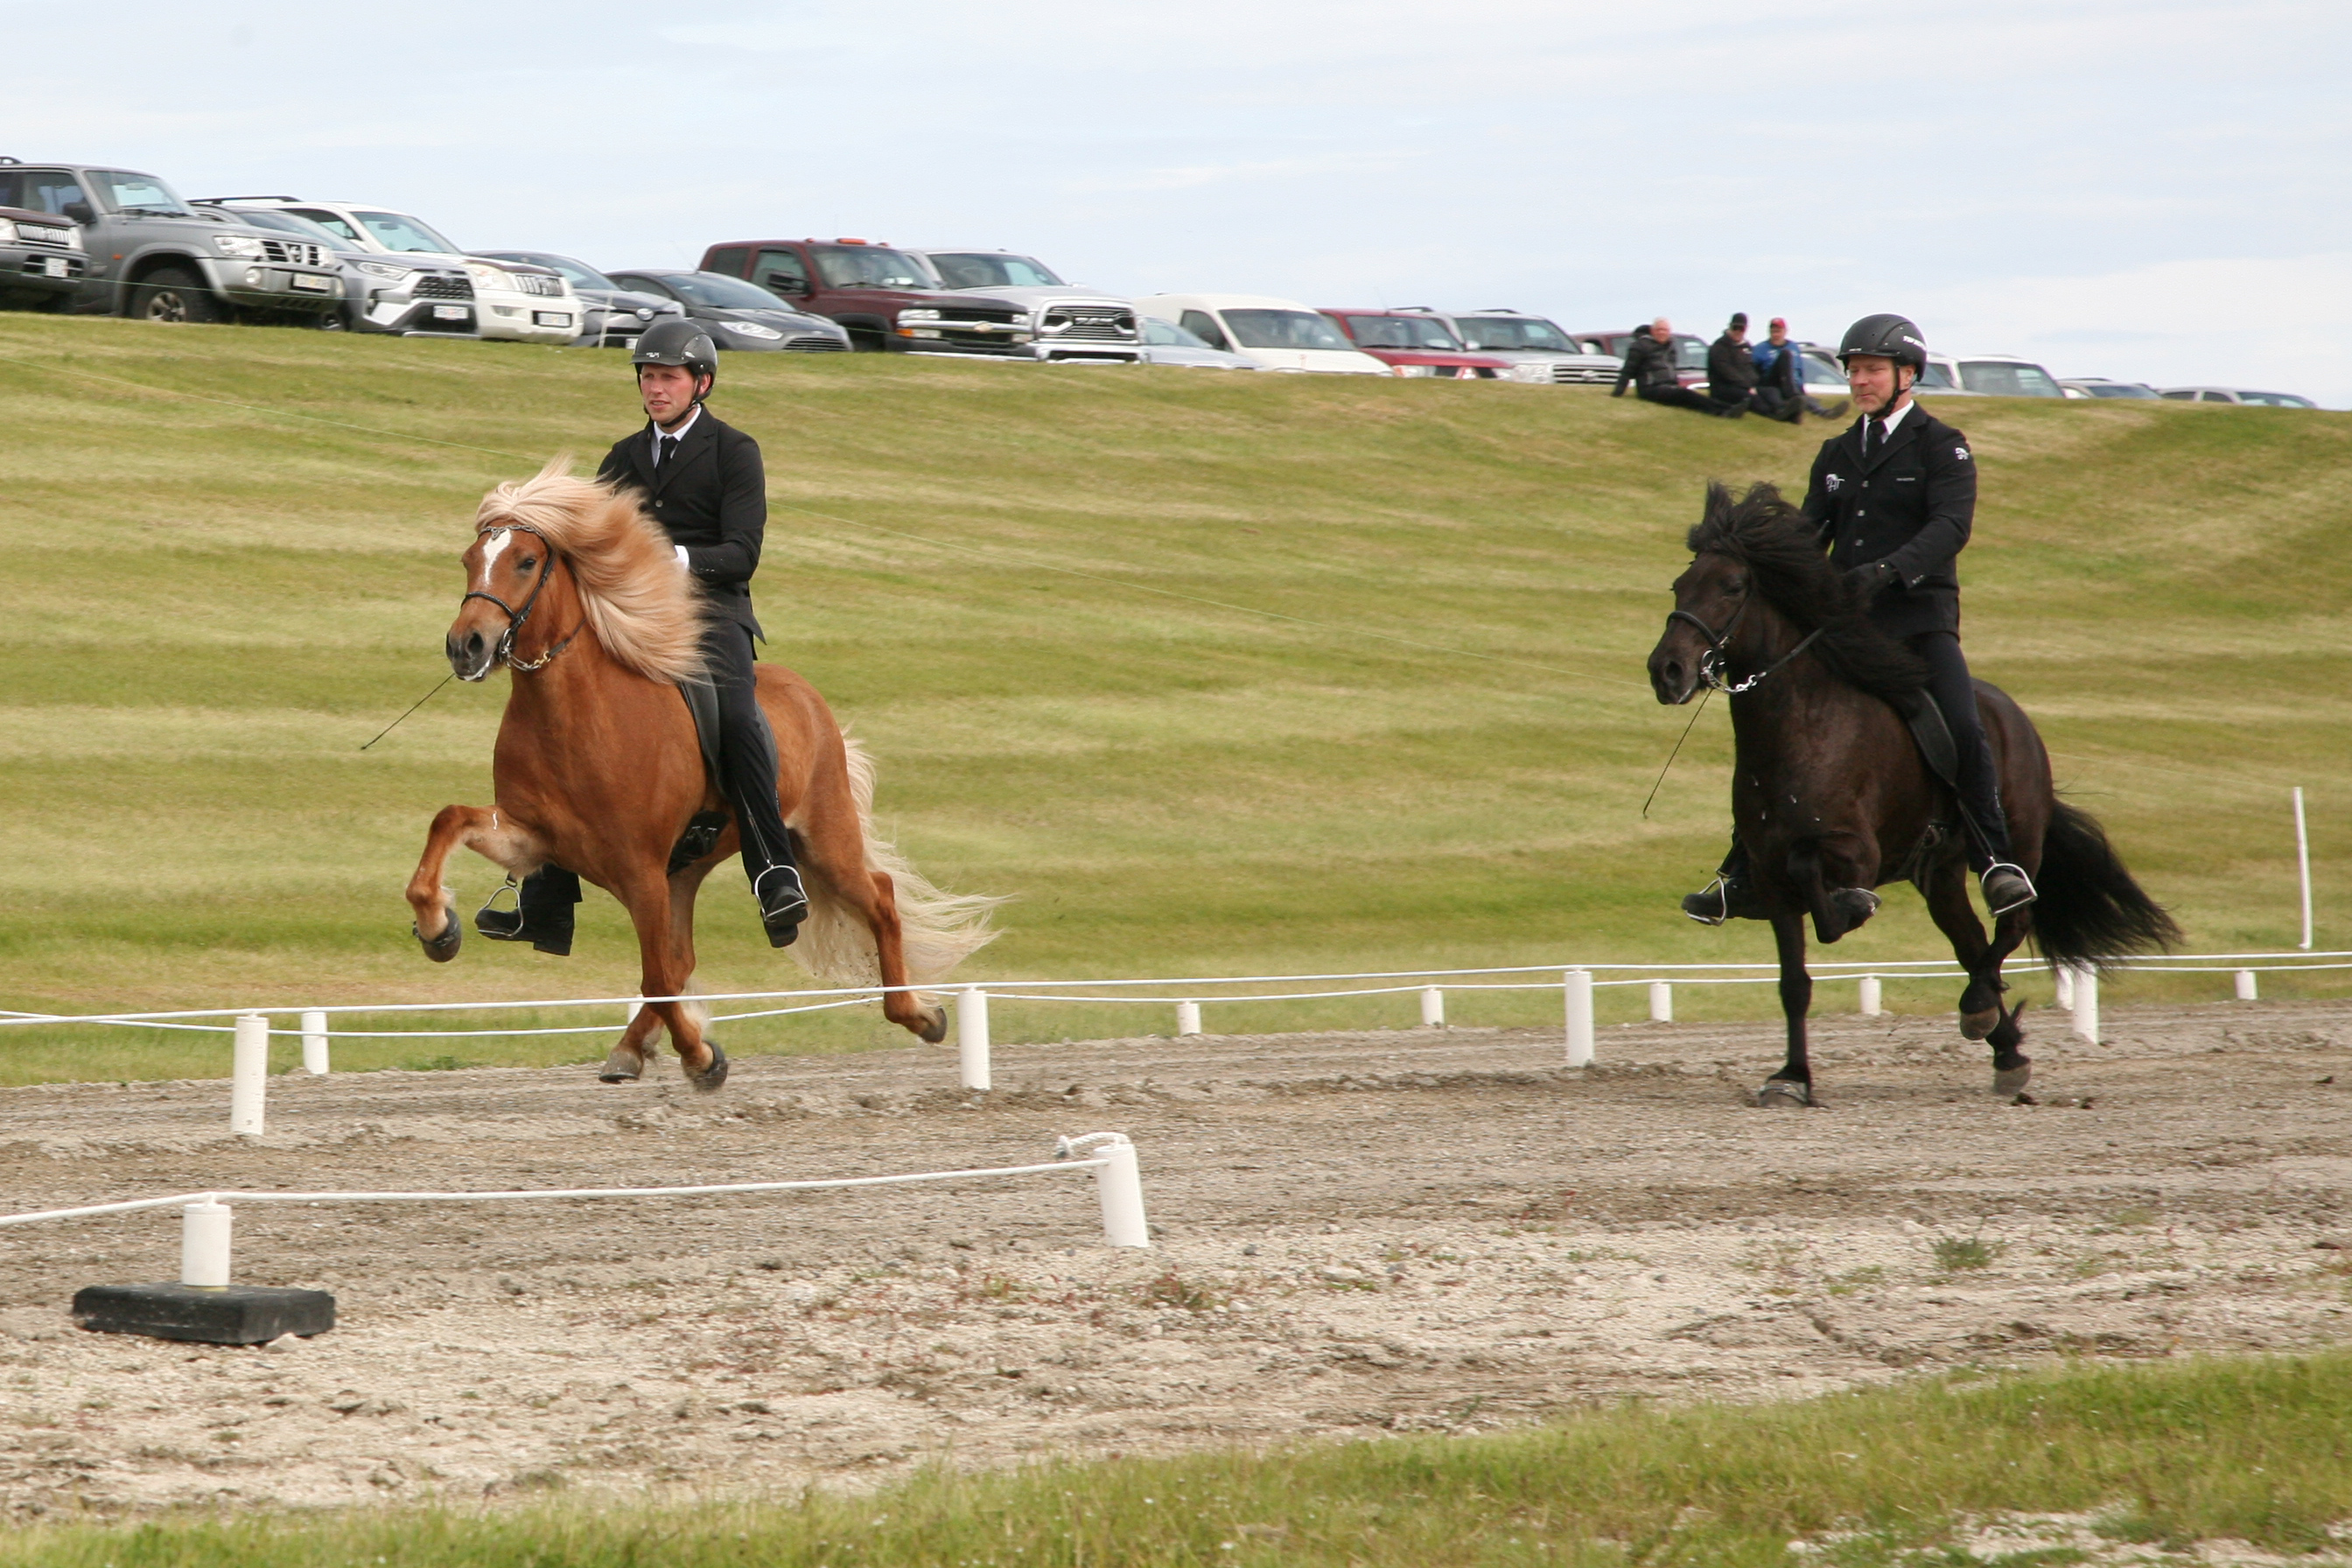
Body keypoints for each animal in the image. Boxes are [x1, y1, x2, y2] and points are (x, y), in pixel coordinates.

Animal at [403, 461, 1000, 1091]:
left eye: (524, 561)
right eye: (469, 559)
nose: (466, 646)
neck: (577, 717)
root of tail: (806, 694)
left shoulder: (639, 871)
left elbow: (660, 977)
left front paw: (701, 1056)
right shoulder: (535, 839)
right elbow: (449, 821)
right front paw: (438, 929)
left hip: (820, 838)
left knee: (879, 898)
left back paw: (919, 1014)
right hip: (686, 873)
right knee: (683, 957)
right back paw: (629, 1048)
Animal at [1646, 482, 2177, 1107]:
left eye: (1731, 587)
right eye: (1680, 586)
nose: (1667, 671)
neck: (1801, 725)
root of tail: (2013, 715)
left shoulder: (1854, 851)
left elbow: (1820, 884)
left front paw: (1851, 907)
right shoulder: (1770, 877)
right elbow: (1793, 984)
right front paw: (1792, 1078)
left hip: (2016, 841)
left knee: (2011, 921)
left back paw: (1979, 1008)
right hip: (1939, 874)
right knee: (1971, 943)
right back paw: (2005, 1048)